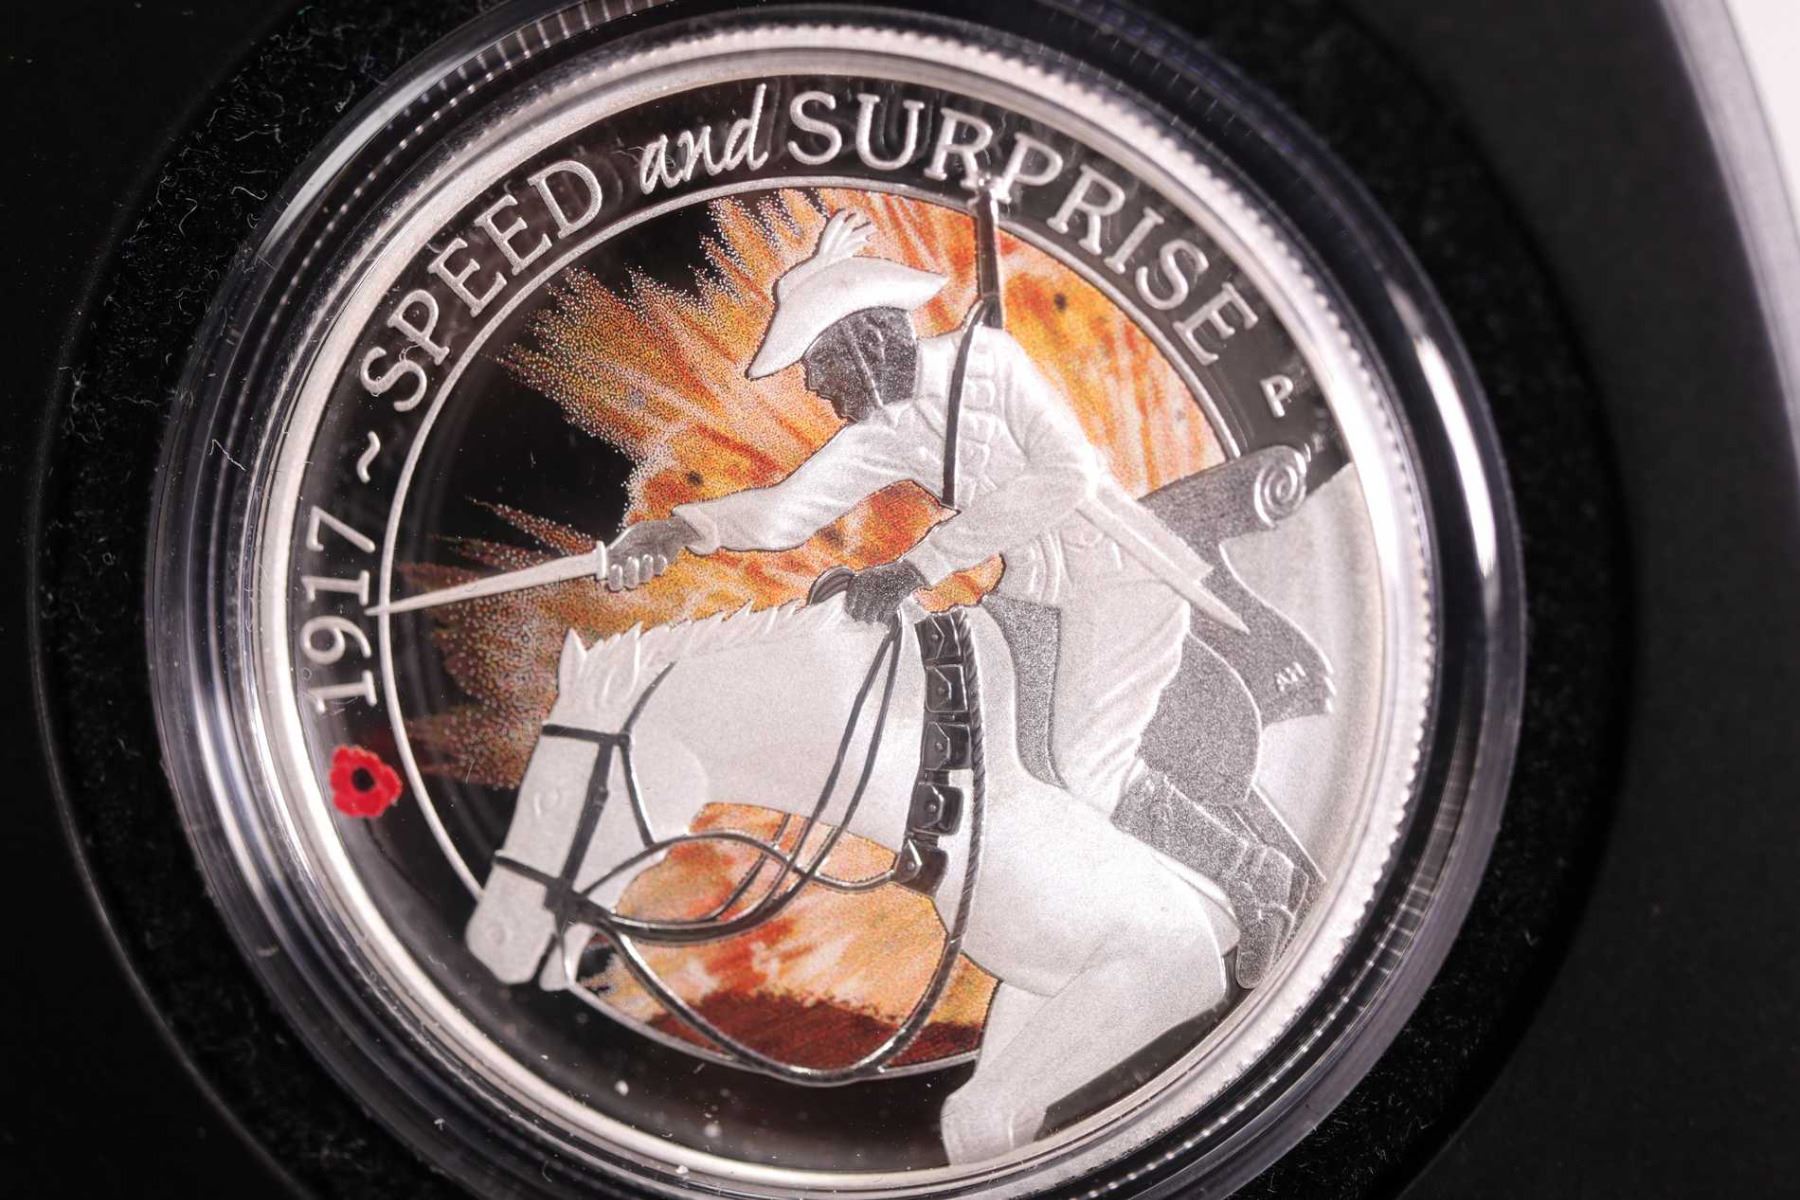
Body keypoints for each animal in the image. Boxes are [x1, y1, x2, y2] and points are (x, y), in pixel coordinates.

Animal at [464, 590, 1237, 1165]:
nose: (488, 937)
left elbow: (982, 1113)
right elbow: (989, 1121)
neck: (949, 754)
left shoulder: (1164, 961)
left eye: (553, 798)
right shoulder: (1040, 987)